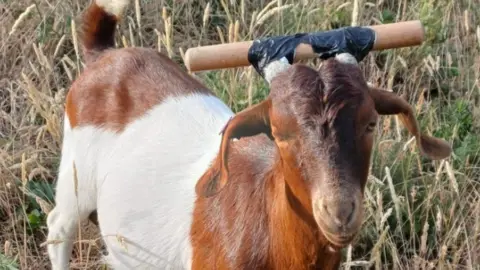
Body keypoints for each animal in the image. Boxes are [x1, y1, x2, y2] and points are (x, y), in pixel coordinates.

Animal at [46, 0, 454, 270]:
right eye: (279, 133)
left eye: (370, 123)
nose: (339, 213)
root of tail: (104, 54)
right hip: (75, 173)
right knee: (58, 226)